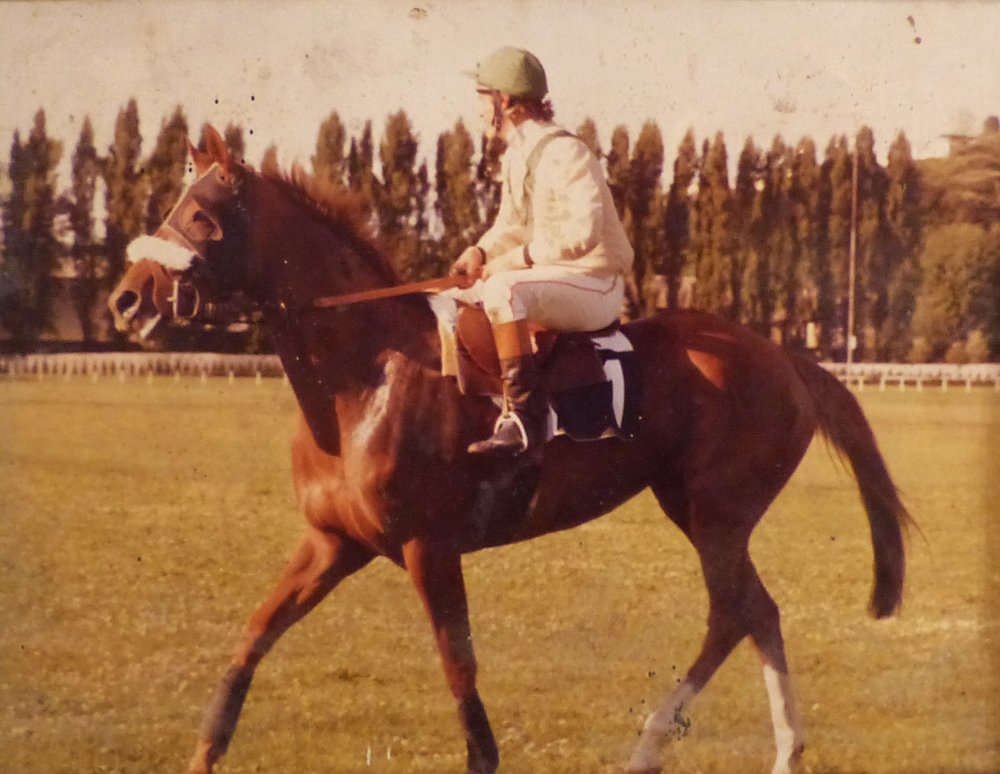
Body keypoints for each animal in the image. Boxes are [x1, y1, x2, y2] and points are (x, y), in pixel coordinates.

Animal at [111, 127, 916, 774]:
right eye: (174, 206)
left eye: (201, 216)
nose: (126, 299)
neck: (367, 377)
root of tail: (786, 358)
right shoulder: (333, 541)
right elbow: (252, 638)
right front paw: (204, 751)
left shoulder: (429, 547)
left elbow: (458, 667)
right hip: (696, 509)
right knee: (759, 612)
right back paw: (776, 749)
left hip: (717, 513)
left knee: (733, 612)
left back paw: (657, 743)